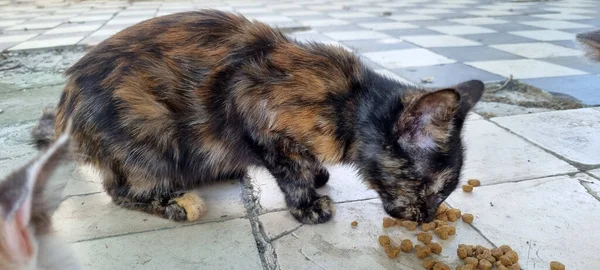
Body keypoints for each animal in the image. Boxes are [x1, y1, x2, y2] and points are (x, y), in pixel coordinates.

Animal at [39, 10, 486, 224]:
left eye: (444, 193)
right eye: (428, 188)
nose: (427, 220)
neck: (348, 103)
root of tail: (64, 106)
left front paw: (318, 174)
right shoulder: (253, 109)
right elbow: (289, 169)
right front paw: (308, 205)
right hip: (149, 133)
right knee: (118, 190)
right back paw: (178, 202)